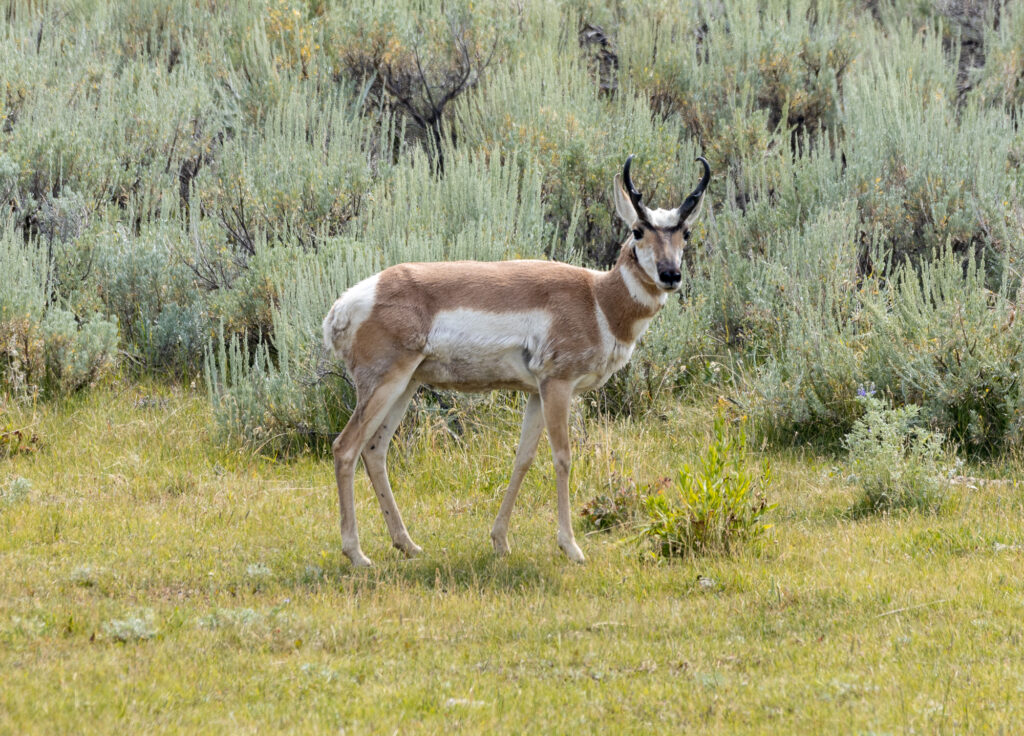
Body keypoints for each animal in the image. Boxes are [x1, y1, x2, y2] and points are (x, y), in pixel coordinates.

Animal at [323, 152, 708, 560]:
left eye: (685, 233)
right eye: (638, 230)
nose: (670, 274)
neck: (597, 298)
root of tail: (345, 305)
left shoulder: (536, 393)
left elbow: (523, 458)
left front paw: (500, 540)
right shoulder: (557, 385)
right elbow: (563, 457)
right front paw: (571, 547)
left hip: (406, 386)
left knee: (374, 451)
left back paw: (408, 544)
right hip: (385, 384)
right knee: (345, 448)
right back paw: (357, 554)